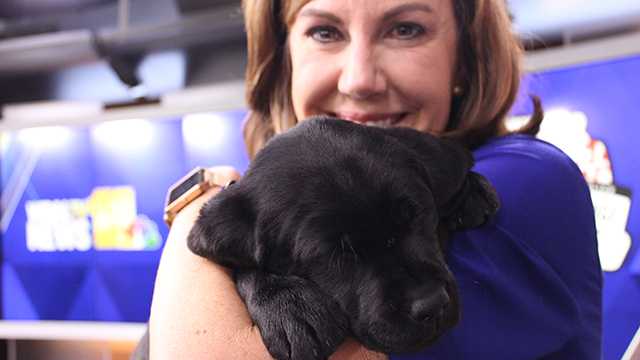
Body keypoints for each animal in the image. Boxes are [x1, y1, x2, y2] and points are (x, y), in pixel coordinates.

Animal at [186, 116, 500, 358]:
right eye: (334, 255)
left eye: (418, 215)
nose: (432, 304)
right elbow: (246, 265)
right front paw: (290, 307)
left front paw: (470, 192)